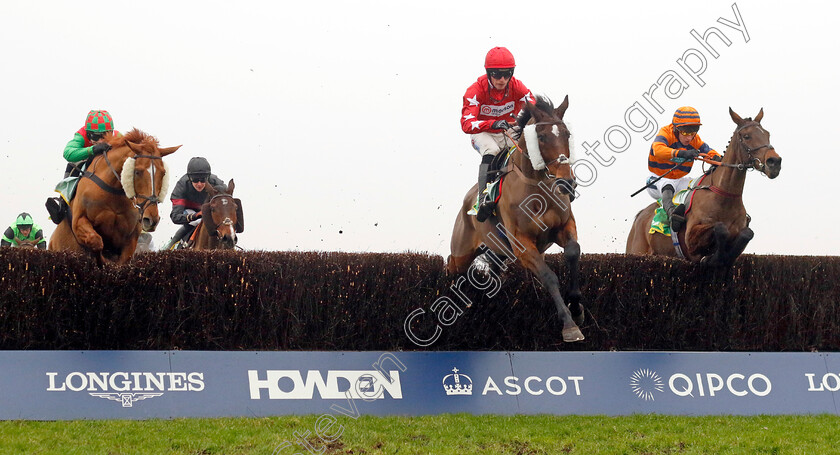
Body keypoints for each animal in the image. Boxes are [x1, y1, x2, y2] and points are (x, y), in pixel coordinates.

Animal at [48, 128, 180, 266]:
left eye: (163, 173)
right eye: (137, 171)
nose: (151, 219)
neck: (113, 192)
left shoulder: (131, 237)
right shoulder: (79, 221)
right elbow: (96, 241)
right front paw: (104, 261)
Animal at [446, 97, 584, 346]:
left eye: (567, 134)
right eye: (541, 137)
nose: (567, 182)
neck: (536, 186)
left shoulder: (564, 226)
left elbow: (572, 252)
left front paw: (577, 308)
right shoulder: (522, 243)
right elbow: (548, 277)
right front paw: (569, 326)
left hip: (498, 253)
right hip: (462, 251)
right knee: (453, 264)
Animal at [628, 108, 784, 268]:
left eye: (767, 134)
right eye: (747, 136)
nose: (774, 162)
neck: (724, 197)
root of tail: (640, 216)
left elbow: (747, 234)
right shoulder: (691, 239)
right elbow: (720, 228)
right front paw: (713, 257)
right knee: (667, 186)